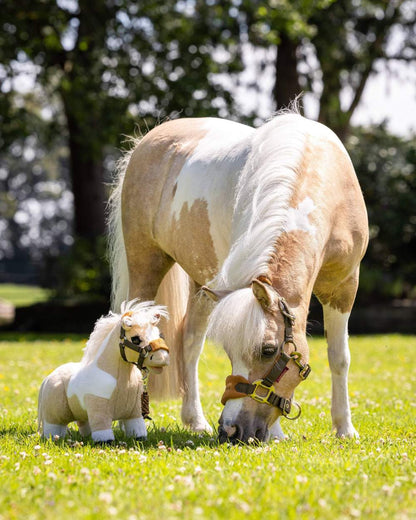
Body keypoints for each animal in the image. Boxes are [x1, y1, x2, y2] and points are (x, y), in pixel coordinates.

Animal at [37, 298, 170, 440]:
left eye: (159, 335)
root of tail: (48, 377)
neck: (122, 380)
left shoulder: (134, 413)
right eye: (135, 339)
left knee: (83, 423)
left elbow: (137, 430)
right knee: (55, 427)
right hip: (55, 416)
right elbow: (103, 432)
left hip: (82, 413)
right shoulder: (100, 410)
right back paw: (54, 438)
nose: (163, 358)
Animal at [107, 107, 368, 440]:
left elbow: (339, 357)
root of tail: (146, 141)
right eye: (231, 353)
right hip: (146, 264)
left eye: (268, 351)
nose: (231, 430)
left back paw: (195, 420)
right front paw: (279, 434)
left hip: (203, 285)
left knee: (189, 345)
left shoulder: (344, 287)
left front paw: (345, 429)